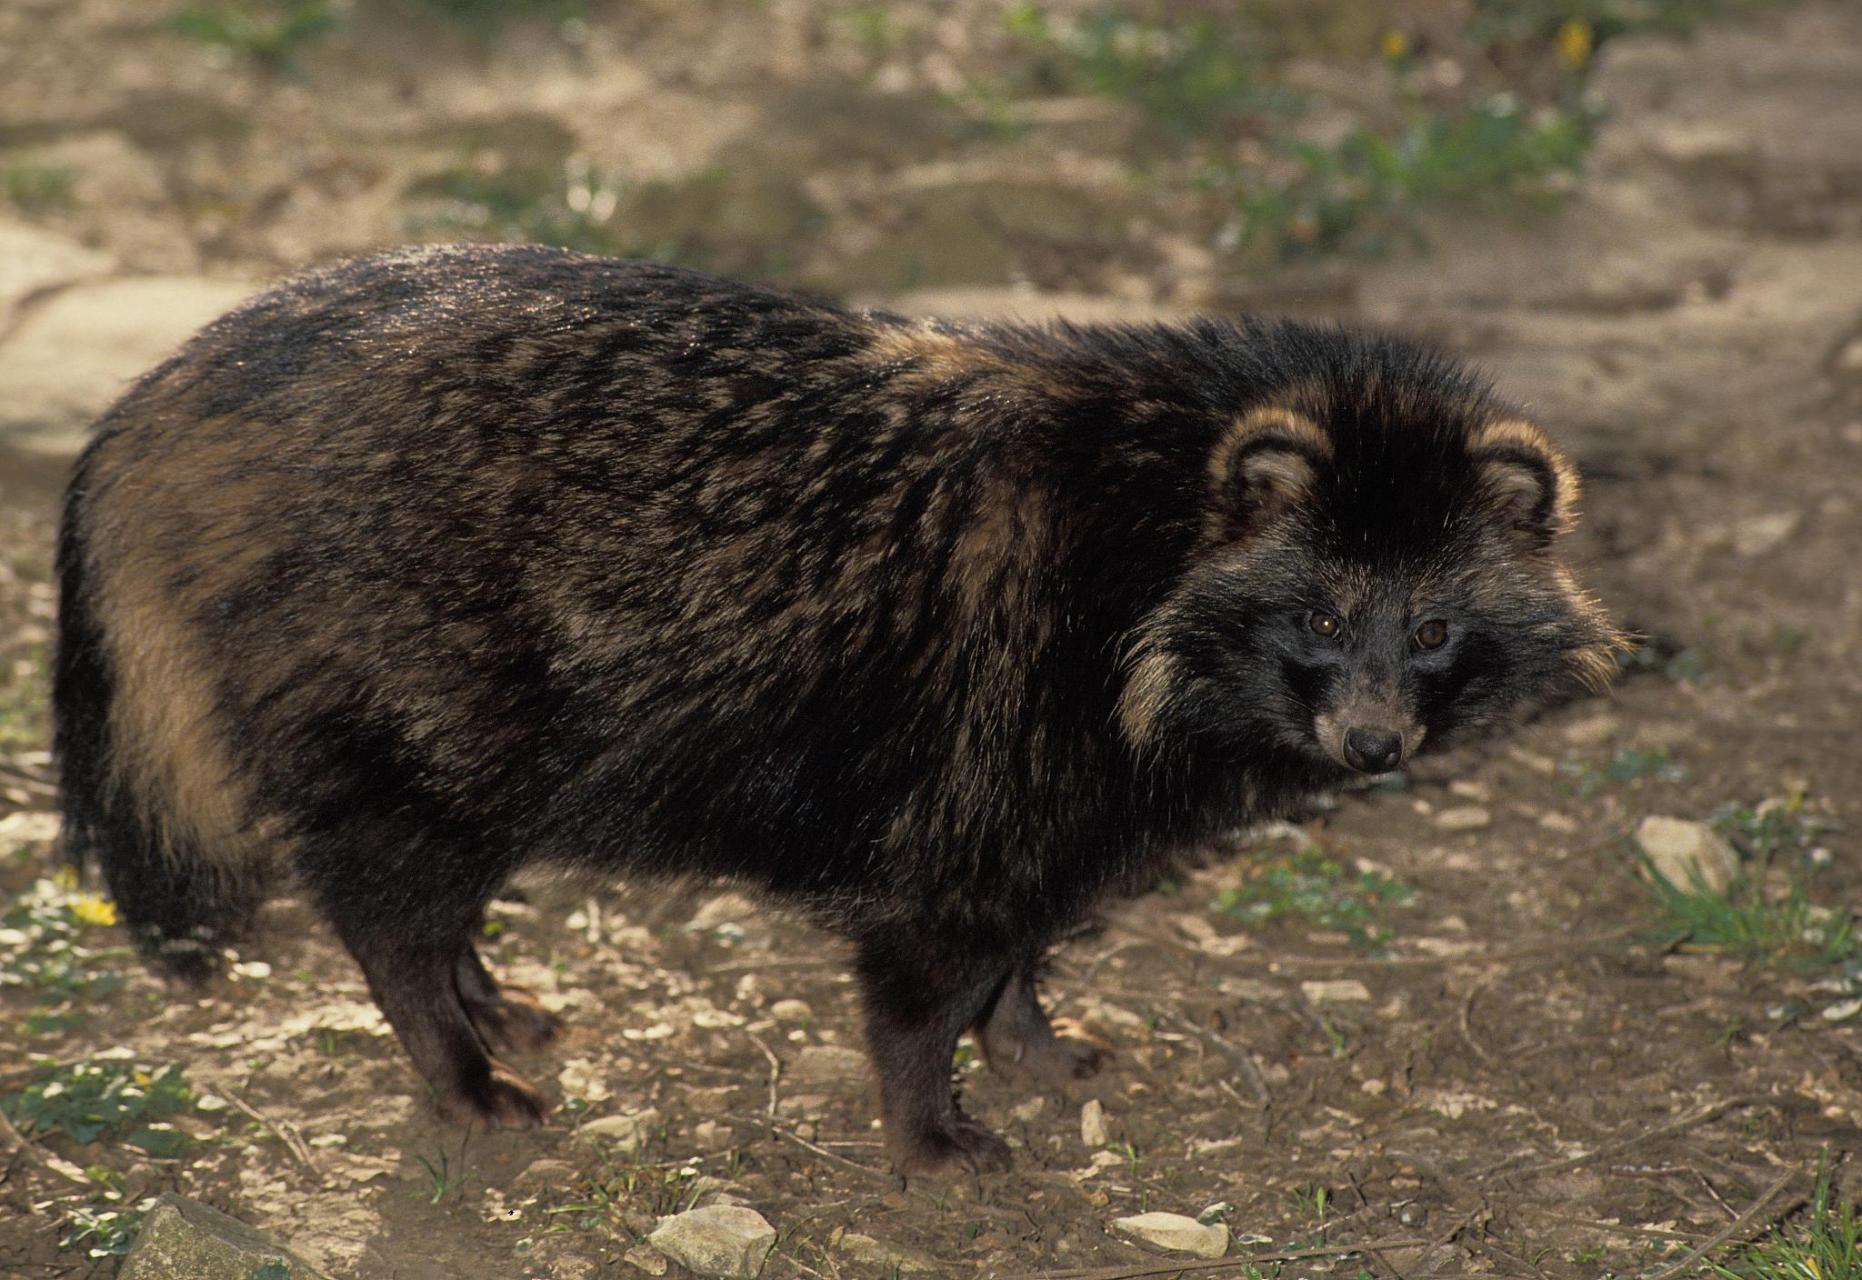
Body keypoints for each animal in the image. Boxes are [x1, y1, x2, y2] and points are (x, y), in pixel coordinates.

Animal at [54, 245, 1631, 1177]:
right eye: (1317, 618)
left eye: (1430, 628)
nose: (1373, 744)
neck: (1156, 513)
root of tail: (163, 397)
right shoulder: (995, 713)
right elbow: (928, 952)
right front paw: (932, 1121)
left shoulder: (1059, 772)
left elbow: (1017, 929)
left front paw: (1030, 1032)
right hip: (394, 666)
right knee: (388, 880)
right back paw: (449, 1050)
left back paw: (480, 993)